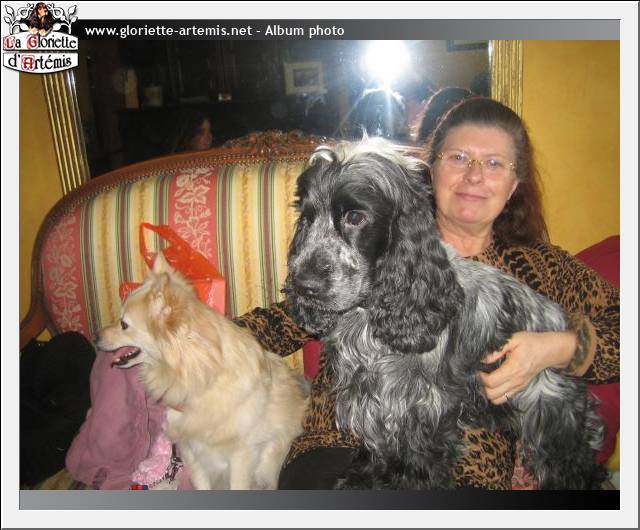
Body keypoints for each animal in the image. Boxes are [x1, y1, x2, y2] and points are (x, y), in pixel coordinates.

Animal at [96, 254, 308, 490]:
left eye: (123, 324)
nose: (96, 336)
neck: (203, 380)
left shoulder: (242, 457)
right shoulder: (191, 452)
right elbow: (201, 483)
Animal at [282, 138, 605, 490]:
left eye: (355, 217)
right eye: (307, 218)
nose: (304, 285)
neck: (368, 318)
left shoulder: (422, 414)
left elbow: (417, 469)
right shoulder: (374, 405)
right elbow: (375, 454)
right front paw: (360, 478)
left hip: (552, 413)